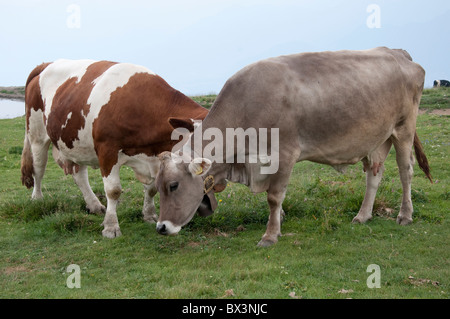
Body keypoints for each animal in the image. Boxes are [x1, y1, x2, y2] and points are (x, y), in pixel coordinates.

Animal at [22, 60, 208, 239]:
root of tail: (46, 64)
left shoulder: (155, 158)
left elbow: (152, 188)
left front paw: (149, 215)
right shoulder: (107, 151)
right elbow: (113, 191)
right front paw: (111, 227)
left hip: (76, 143)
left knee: (79, 175)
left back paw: (94, 205)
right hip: (37, 134)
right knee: (38, 168)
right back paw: (37, 199)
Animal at [154, 47, 432, 248]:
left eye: (174, 185)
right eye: (157, 186)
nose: (161, 227)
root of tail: (396, 51)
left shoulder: (285, 154)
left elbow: (274, 197)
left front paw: (270, 235)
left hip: (404, 129)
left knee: (406, 171)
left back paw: (405, 215)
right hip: (377, 139)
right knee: (374, 175)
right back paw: (363, 215)